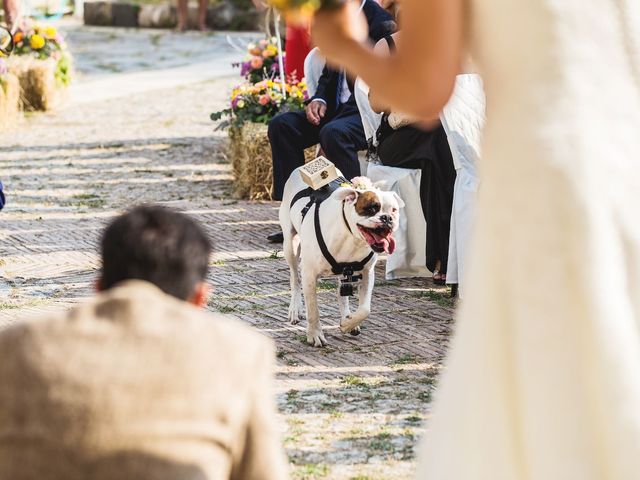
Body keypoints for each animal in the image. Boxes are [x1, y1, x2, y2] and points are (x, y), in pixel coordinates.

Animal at [278, 167, 402, 346]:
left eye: (394, 210)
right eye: (371, 208)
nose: (387, 218)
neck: (352, 238)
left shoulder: (367, 274)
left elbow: (365, 309)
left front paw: (348, 322)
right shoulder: (309, 275)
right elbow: (313, 309)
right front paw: (315, 334)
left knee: (341, 293)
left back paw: (347, 316)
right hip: (290, 246)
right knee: (295, 279)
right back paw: (295, 309)